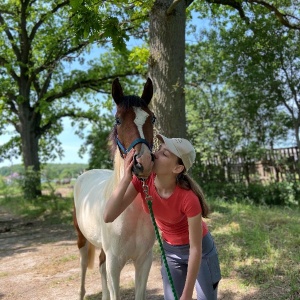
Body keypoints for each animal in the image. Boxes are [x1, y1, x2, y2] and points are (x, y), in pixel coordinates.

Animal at [73, 78, 156, 300]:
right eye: (118, 120)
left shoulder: (144, 261)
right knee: (84, 266)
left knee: (100, 267)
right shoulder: (114, 264)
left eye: (152, 119)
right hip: (82, 240)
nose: (143, 162)